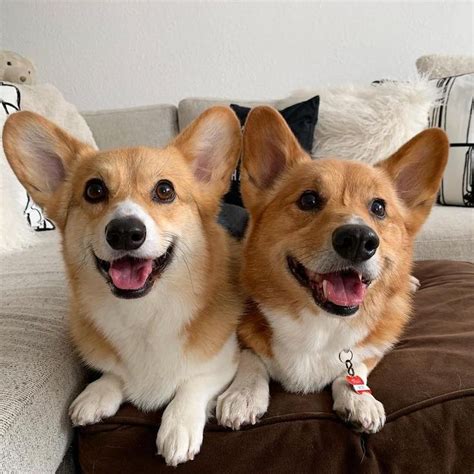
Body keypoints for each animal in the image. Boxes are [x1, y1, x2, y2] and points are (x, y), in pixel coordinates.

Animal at [4, 106, 244, 462]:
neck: (144, 312)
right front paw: (96, 393)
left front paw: (178, 427)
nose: (125, 232)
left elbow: (193, 384)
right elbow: (114, 373)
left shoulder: (224, 361)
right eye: (94, 190)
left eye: (165, 190)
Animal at [217, 106, 446, 434]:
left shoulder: (373, 347)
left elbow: (356, 365)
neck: (320, 325)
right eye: (309, 199)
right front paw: (243, 395)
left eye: (379, 207)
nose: (359, 240)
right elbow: (251, 358)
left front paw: (360, 399)